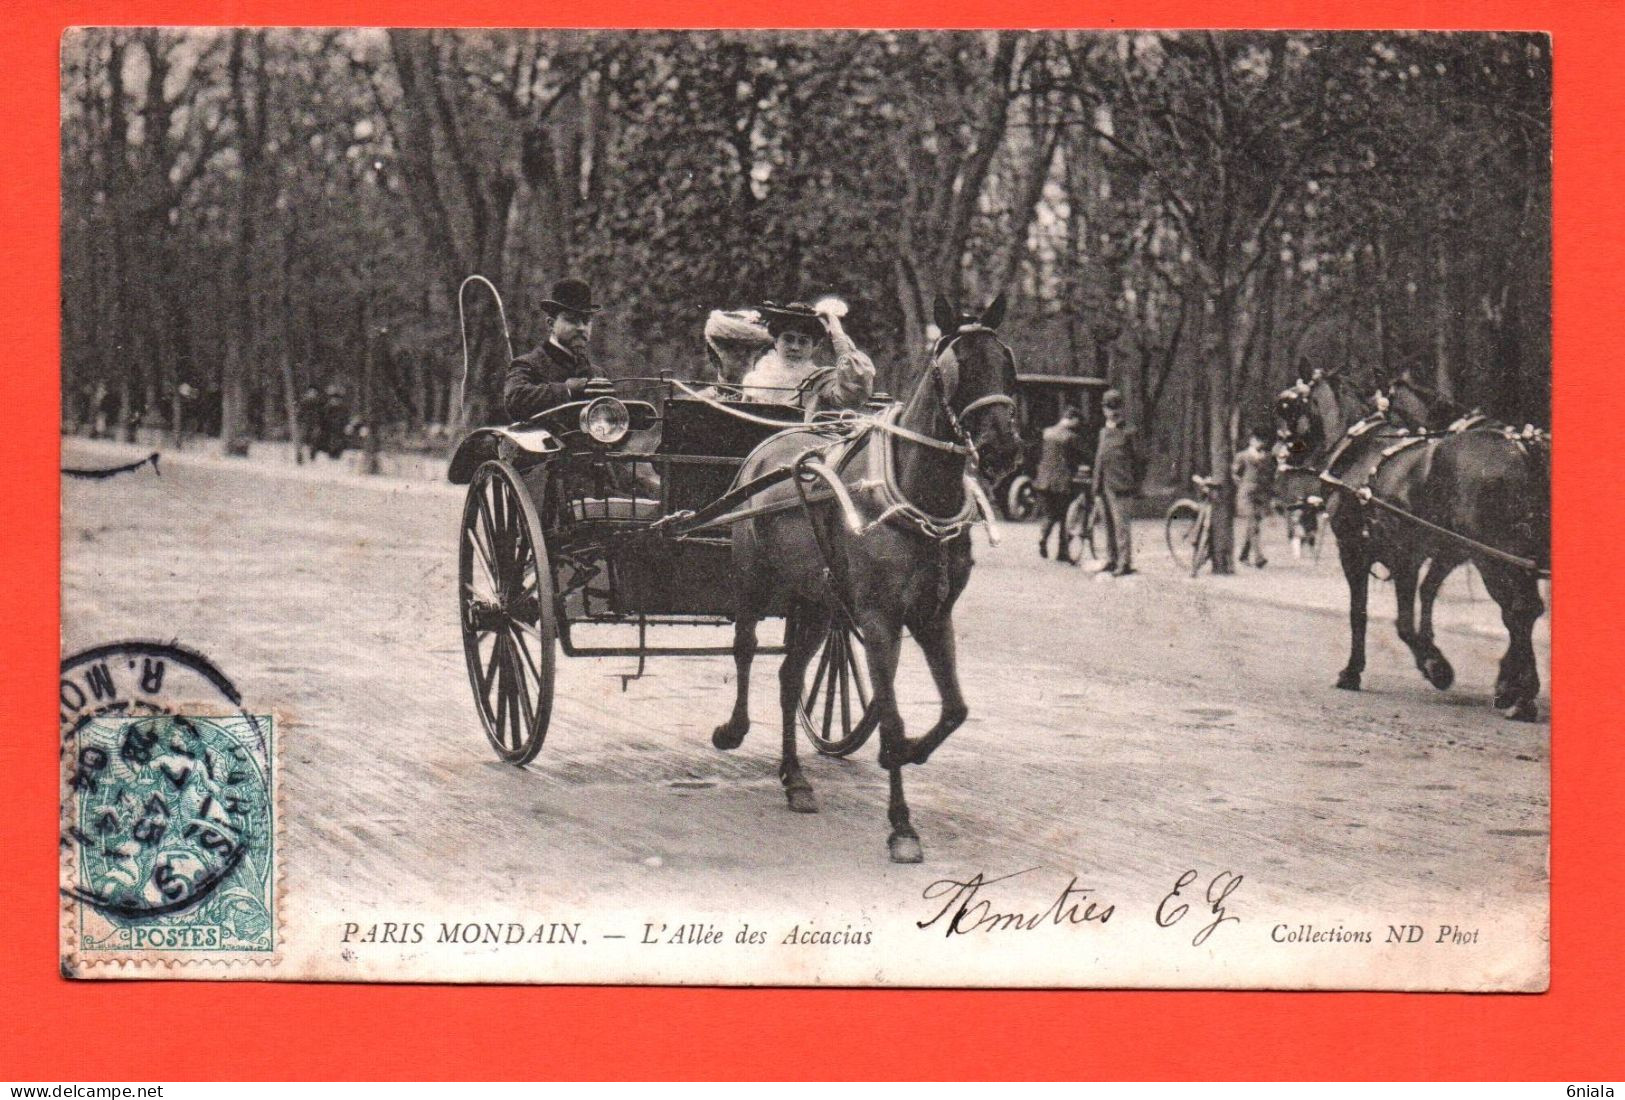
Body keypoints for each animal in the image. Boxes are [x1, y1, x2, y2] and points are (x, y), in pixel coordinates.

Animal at [451, 295, 1014, 864]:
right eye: (955, 368)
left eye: (1006, 362)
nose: (1002, 448)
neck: (912, 491)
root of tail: (767, 451)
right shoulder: (879, 619)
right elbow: (896, 720)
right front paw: (901, 826)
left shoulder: (931, 615)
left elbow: (954, 710)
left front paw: (911, 757)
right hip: (750, 578)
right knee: (744, 650)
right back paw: (729, 731)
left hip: (817, 599)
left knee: (789, 678)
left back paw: (795, 779)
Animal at [1267, 363, 1547, 714]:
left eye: (1286, 406)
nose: (1277, 456)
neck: (1362, 451)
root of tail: (1520, 450)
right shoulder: (1442, 553)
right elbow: (1423, 597)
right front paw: (1433, 656)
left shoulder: (1366, 552)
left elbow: (1373, 615)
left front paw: (1429, 666)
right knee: (1526, 610)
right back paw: (1518, 690)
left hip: (1493, 557)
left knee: (1519, 610)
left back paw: (1521, 698)